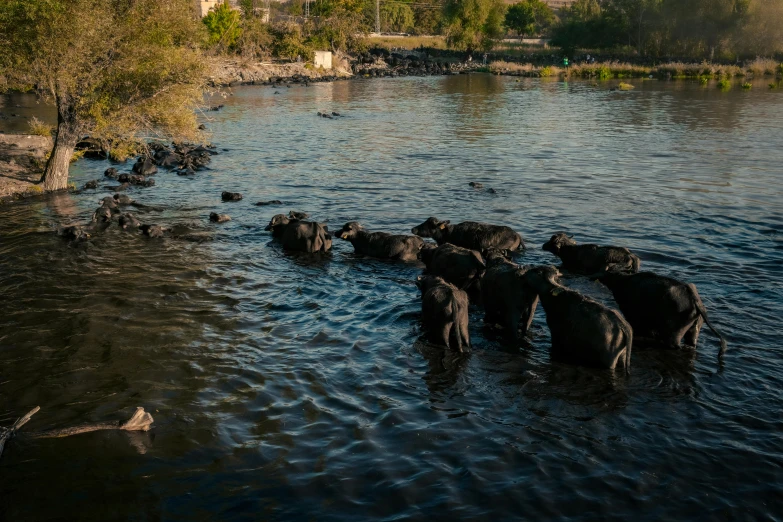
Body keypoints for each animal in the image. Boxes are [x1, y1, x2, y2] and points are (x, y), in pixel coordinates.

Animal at [600, 268, 728, 358]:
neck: (623, 281)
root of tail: (694, 299)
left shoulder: (634, 317)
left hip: (674, 332)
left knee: (674, 345)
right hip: (694, 328)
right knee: (691, 343)